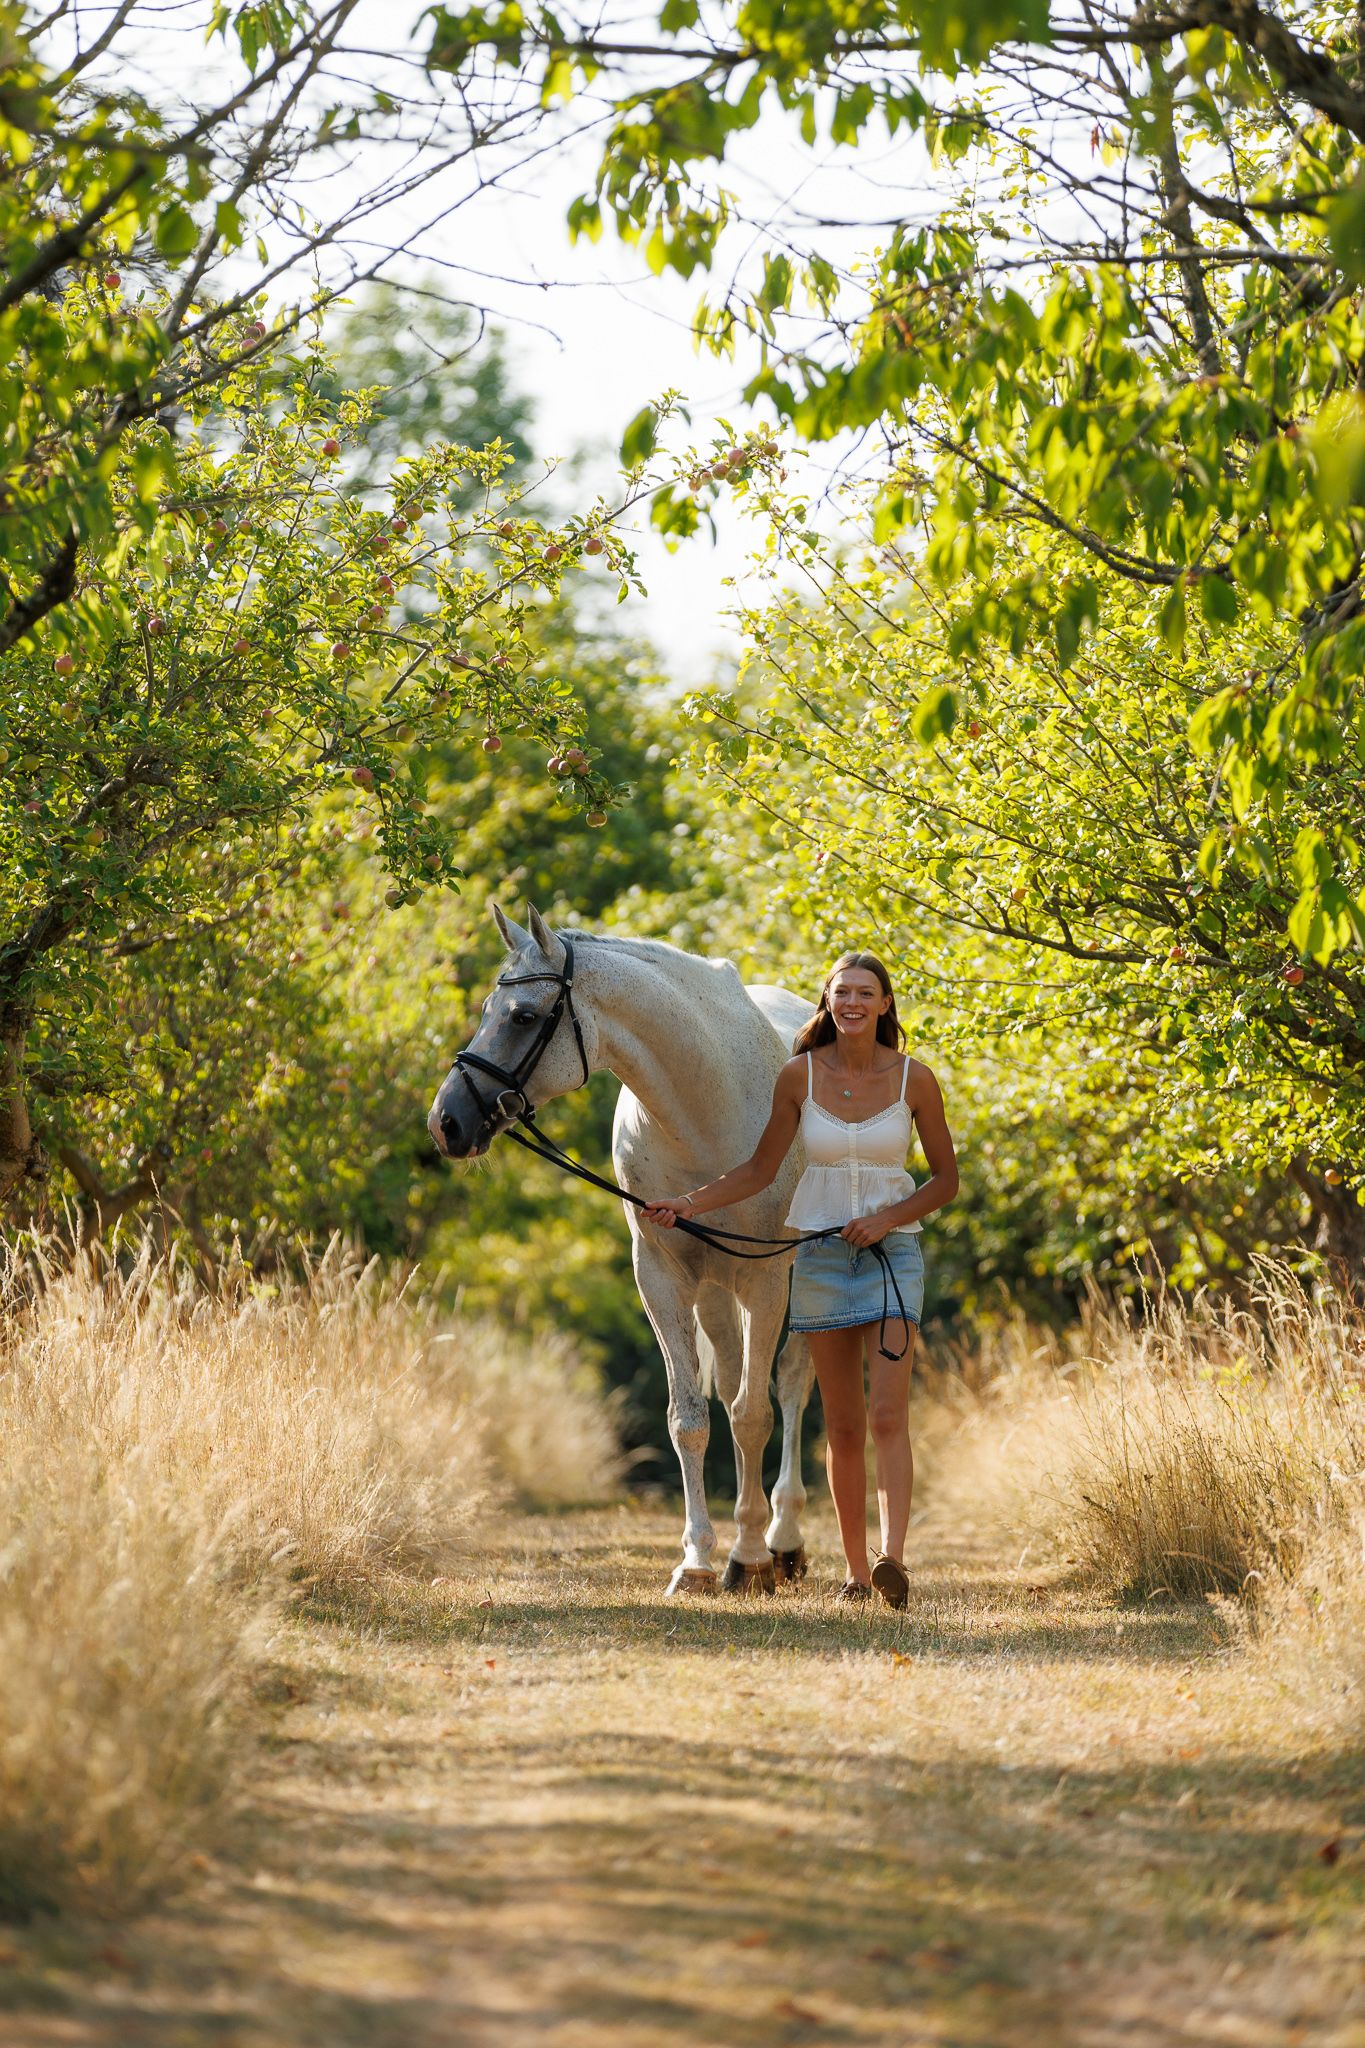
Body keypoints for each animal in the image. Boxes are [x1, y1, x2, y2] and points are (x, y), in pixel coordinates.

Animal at [428, 902, 816, 1596]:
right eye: (486, 1008)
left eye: (522, 1016)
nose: (446, 1123)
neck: (704, 1110)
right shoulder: (660, 1274)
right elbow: (691, 1419)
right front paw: (697, 1561)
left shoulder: (766, 1277)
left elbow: (755, 1415)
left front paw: (749, 1558)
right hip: (714, 1289)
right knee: (732, 1385)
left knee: (792, 1385)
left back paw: (783, 1540)